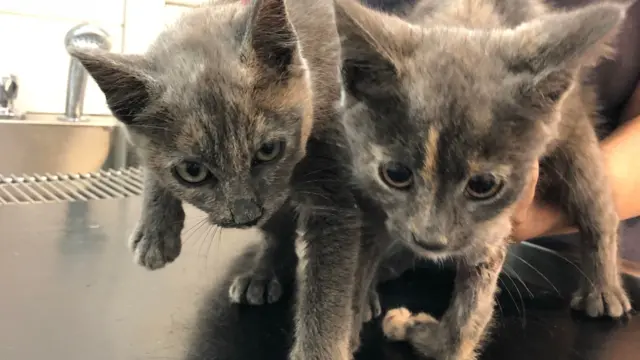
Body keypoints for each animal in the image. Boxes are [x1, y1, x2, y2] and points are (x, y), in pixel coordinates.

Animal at [338, 0, 632, 358]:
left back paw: (603, 289)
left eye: (483, 186)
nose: (430, 240)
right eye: (395, 174)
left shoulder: (491, 223)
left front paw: (427, 335)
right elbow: (357, 258)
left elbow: (471, 312)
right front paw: (350, 320)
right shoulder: (367, 194)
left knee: (596, 205)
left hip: (573, 131)